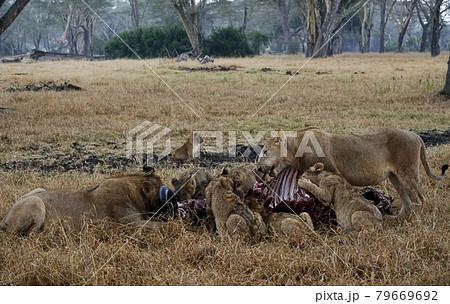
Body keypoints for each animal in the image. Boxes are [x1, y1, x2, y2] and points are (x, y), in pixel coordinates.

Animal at [1, 166, 163, 233]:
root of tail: (4, 219)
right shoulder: (131, 223)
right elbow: (161, 226)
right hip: (35, 200)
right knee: (30, 234)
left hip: (38, 190)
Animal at [258, 127, 448, 218]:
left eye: (265, 151)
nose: (259, 168)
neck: (296, 150)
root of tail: (417, 136)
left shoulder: (332, 171)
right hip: (395, 177)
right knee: (407, 199)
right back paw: (399, 219)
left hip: (408, 171)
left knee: (418, 199)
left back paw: (413, 221)